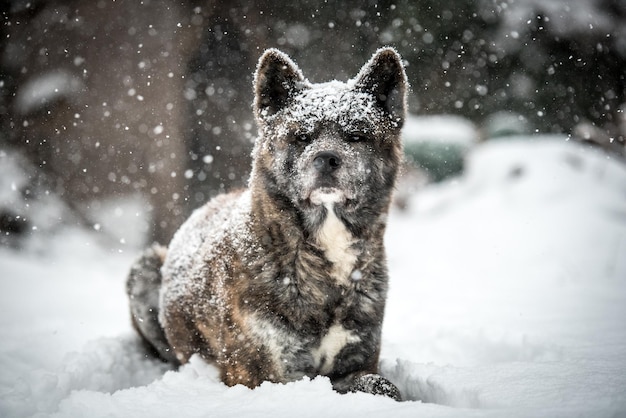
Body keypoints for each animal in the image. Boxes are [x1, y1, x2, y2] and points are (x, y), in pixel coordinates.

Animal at [126, 47, 408, 400]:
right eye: (302, 137)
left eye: (356, 136)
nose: (326, 159)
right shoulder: (262, 375)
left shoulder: (358, 362)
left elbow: (385, 386)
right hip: (145, 269)